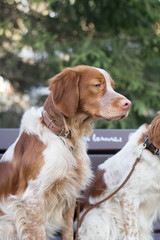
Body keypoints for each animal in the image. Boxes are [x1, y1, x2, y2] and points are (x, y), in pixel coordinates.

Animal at [0, 64, 131, 239]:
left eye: (113, 86)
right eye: (97, 85)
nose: (128, 104)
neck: (65, 137)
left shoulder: (69, 196)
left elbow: (68, 232)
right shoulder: (34, 200)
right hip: (9, 225)